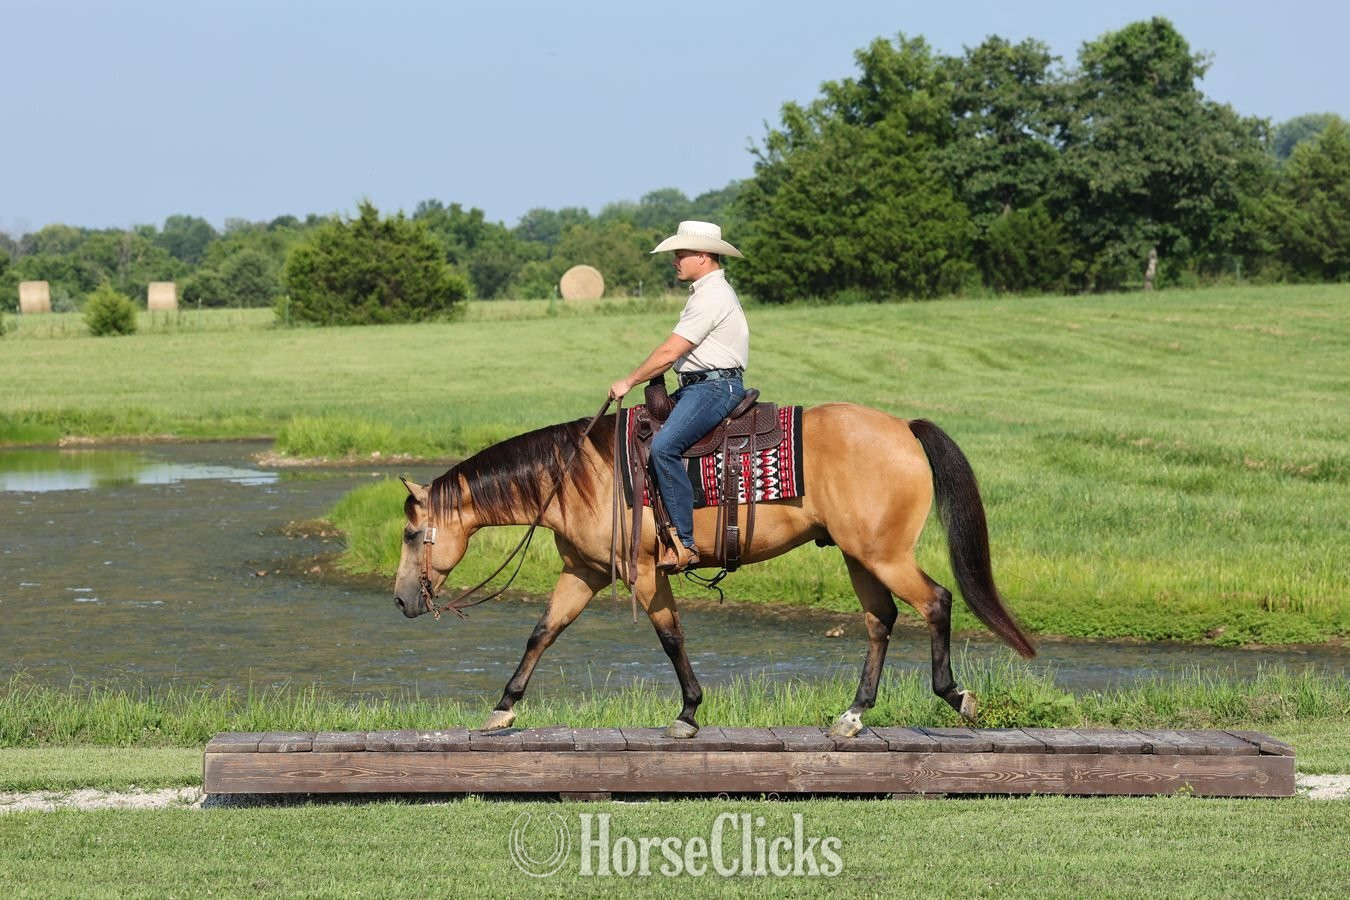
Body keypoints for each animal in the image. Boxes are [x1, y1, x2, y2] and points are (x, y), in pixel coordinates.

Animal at [393, 402, 1035, 739]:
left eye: (409, 534)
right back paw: (852, 716)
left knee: (935, 602)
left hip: (885, 555)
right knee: (881, 621)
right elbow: (542, 633)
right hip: (860, 555)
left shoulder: (643, 571)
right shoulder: (585, 573)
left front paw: (687, 712)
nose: (401, 601)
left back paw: (957, 697)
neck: (579, 475)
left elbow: (671, 637)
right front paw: (503, 708)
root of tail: (903, 427)